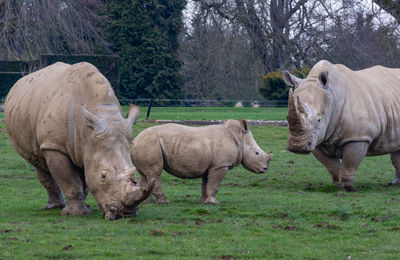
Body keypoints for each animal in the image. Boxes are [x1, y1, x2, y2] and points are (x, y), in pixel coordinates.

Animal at [131, 121, 272, 204]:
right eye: (257, 153)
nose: (265, 169)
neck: (239, 139)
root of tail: (134, 140)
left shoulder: (210, 166)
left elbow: (206, 183)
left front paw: (203, 201)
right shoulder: (220, 165)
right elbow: (214, 184)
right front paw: (214, 202)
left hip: (145, 144)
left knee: (145, 174)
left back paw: (145, 202)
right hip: (150, 143)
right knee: (155, 173)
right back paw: (164, 201)